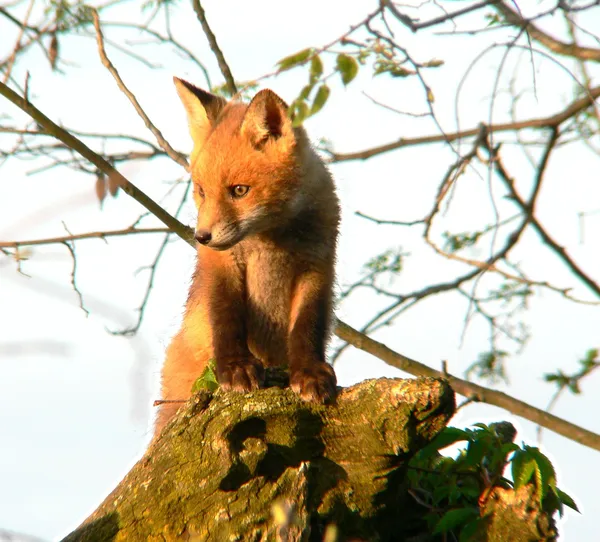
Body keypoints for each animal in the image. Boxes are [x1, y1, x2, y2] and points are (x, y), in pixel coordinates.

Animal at [157, 78, 340, 436]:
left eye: (239, 190)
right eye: (201, 191)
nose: (201, 237)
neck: (272, 241)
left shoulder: (318, 266)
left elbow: (308, 325)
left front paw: (310, 372)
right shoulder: (222, 265)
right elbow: (226, 317)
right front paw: (236, 367)